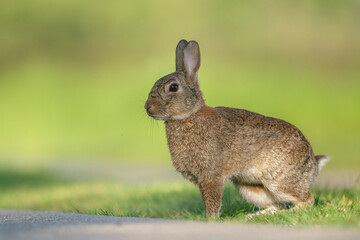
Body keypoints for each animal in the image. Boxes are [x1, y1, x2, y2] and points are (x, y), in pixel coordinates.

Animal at [143, 39, 330, 218]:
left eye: (173, 87)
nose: (147, 107)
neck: (189, 115)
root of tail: (313, 164)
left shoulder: (211, 176)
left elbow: (212, 201)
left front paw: (211, 220)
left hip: (278, 181)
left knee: (307, 201)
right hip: (248, 186)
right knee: (276, 206)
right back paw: (252, 217)